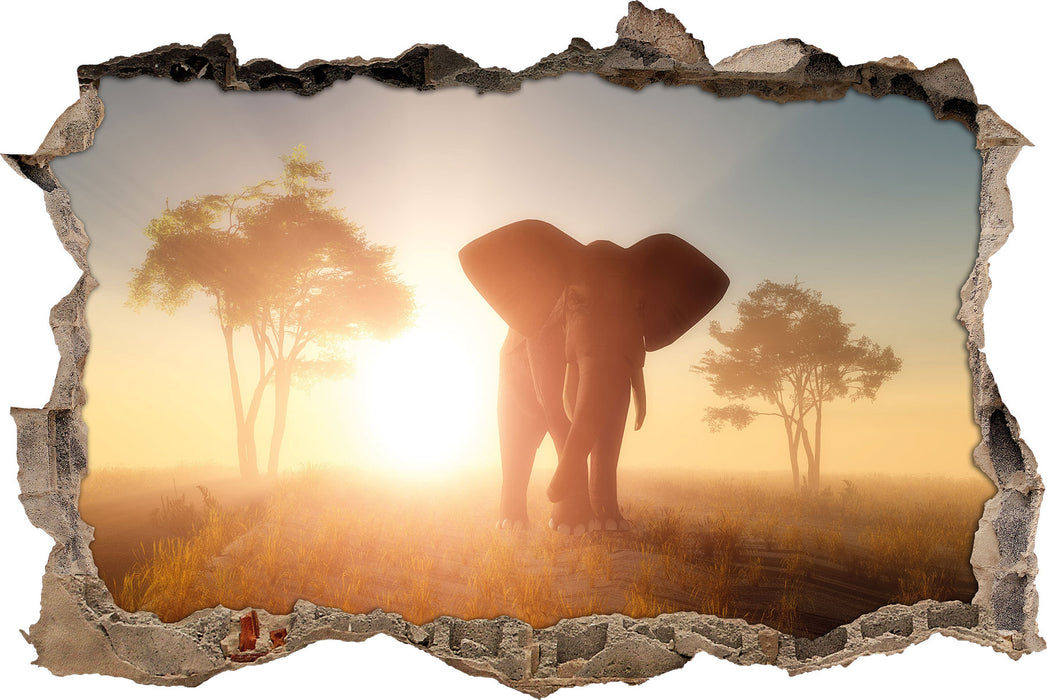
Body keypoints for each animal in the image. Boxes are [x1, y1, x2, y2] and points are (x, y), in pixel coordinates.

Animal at [459, 219, 729, 534]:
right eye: (574, 299)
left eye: (641, 306)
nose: (549, 493)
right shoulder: (544, 337)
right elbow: (556, 406)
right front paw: (572, 528)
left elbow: (615, 411)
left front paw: (612, 525)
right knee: (518, 435)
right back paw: (512, 526)